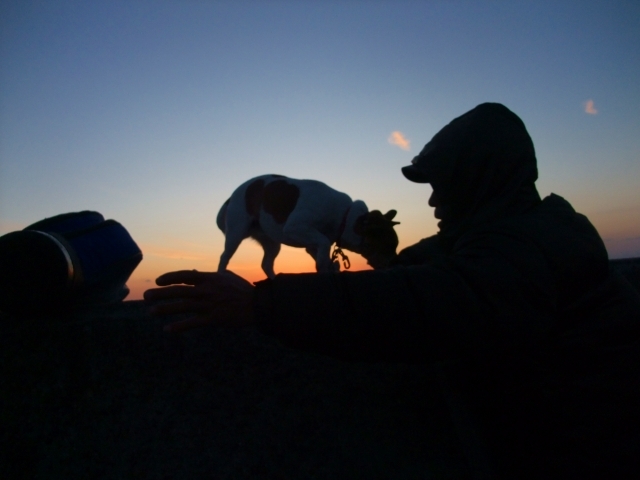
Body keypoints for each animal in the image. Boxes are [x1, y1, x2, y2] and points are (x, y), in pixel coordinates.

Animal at [218, 173, 398, 278]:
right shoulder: (296, 227)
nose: (396, 263)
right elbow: (324, 245)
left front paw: (330, 266)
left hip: (272, 242)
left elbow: (323, 252)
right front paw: (324, 267)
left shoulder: (312, 243)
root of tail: (231, 197)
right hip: (236, 233)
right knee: (224, 257)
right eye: (388, 246)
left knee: (266, 264)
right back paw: (221, 274)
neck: (345, 217)